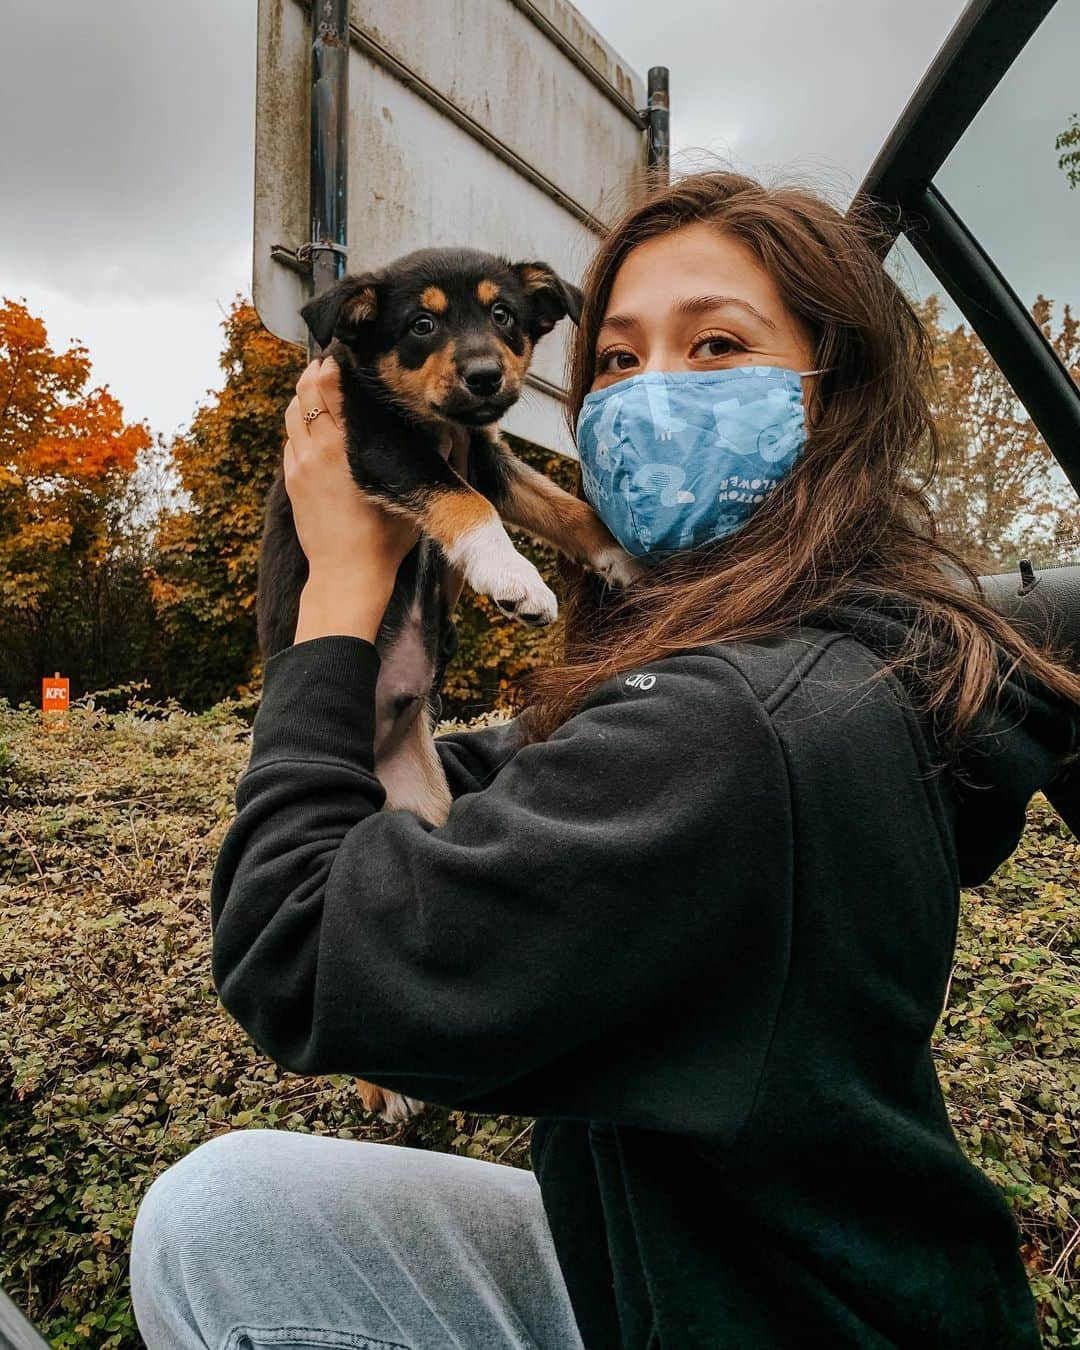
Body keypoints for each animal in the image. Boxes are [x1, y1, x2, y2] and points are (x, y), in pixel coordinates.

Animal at [253, 245, 642, 1128]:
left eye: (503, 315)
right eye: (421, 324)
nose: (485, 375)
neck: (436, 420)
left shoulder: (489, 453)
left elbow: (562, 506)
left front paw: (621, 557)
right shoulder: (377, 444)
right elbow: (458, 499)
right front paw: (514, 579)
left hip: (423, 806)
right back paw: (383, 1091)